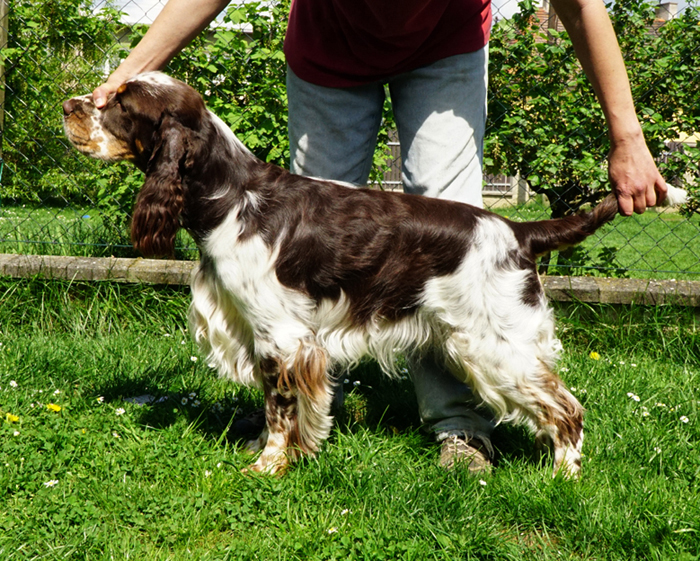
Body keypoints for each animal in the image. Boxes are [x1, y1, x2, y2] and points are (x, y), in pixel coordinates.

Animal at [63, 72, 688, 476]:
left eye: (121, 104)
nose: (70, 104)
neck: (231, 195)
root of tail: (517, 230)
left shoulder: (284, 338)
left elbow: (280, 410)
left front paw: (269, 466)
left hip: (496, 345)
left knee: (568, 409)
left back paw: (564, 479)